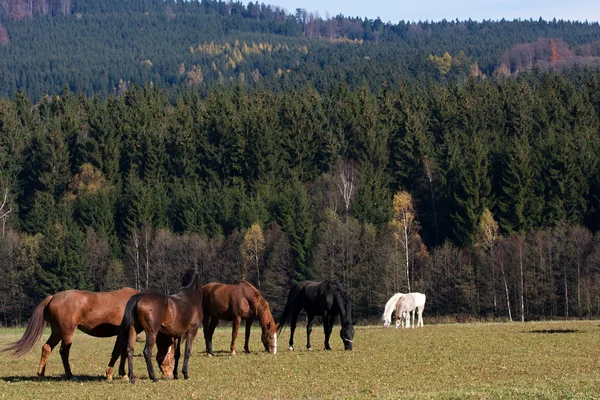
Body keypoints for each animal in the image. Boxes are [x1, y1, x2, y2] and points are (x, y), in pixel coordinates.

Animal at [2, 286, 173, 380]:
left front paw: (122, 373)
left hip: (56, 331)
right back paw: (70, 375)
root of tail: (53, 297)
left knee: (46, 348)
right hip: (67, 332)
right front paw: (110, 373)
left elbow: (124, 352)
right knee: (63, 351)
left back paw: (41, 372)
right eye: (170, 357)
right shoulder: (123, 332)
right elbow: (117, 352)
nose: (169, 374)